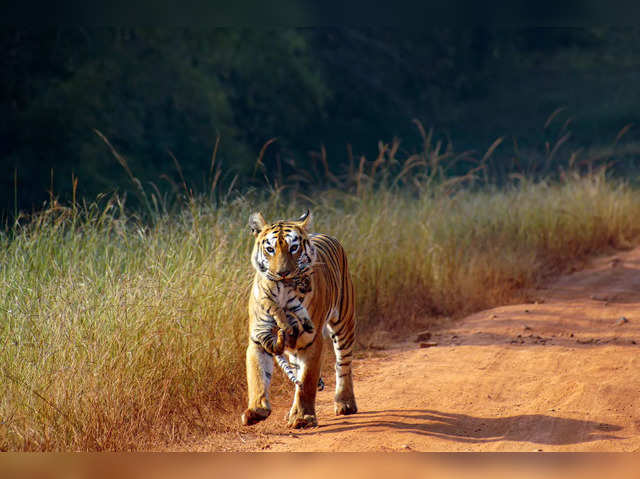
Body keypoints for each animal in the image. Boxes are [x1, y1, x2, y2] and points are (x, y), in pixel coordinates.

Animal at [241, 212, 358, 430]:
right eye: (270, 249)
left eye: (294, 248)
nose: (282, 274)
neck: (280, 293)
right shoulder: (257, 340)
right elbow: (257, 376)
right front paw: (256, 411)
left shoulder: (311, 341)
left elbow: (308, 381)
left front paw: (303, 417)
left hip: (344, 322)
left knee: (343, 363)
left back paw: (345, 403)